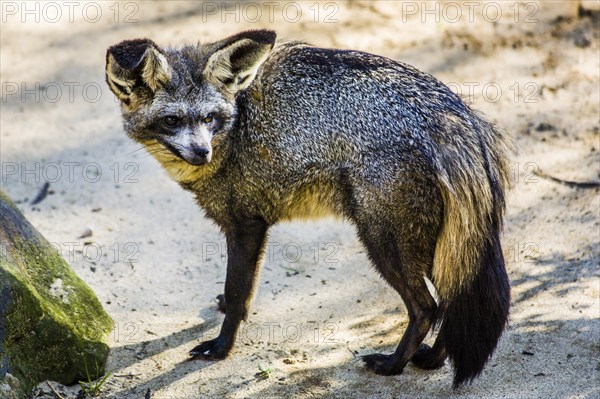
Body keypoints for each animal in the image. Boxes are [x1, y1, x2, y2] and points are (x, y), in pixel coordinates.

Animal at [106, 28, 510, 390]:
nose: (202, 153)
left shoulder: (247, 224)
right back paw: (432, 360)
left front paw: (221, 348)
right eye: (172, 120)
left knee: (428, 307)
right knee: (455, 300)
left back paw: (393, 364)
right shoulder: (252, 225)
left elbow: (238, 293)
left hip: (384, 243)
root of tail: (452, 112)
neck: (237, 126)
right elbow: (242, 292)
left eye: (210, 119)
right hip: (438, 249)